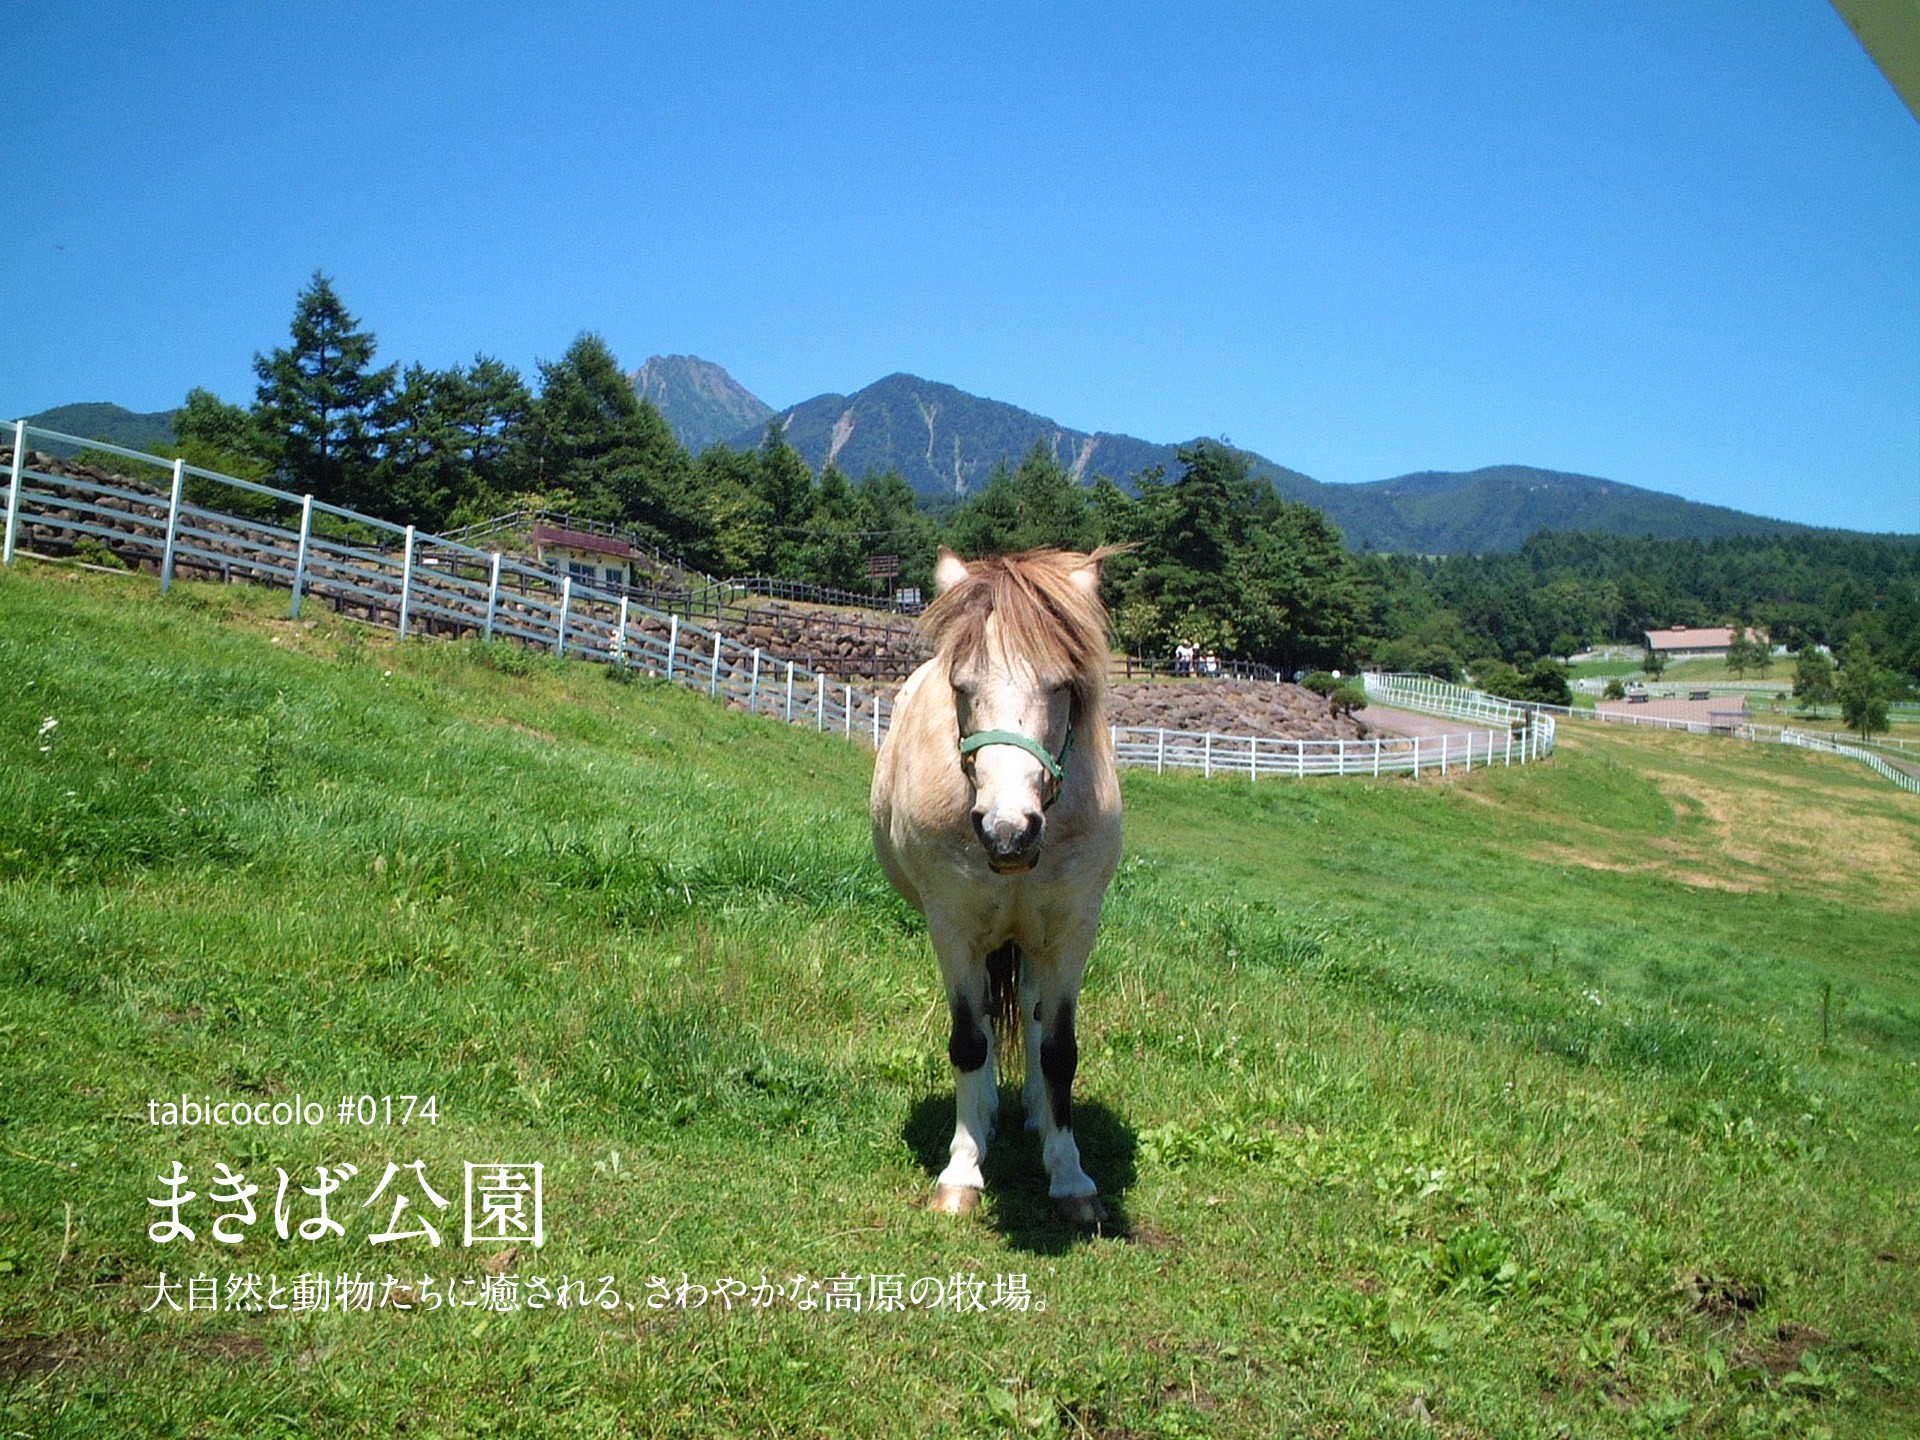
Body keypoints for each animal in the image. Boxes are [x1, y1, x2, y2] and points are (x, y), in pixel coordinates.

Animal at [871, 545, 1121, 1221]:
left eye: (1061, 686)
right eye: (962, 687)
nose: (1008, 832)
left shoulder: (1070, 932)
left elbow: (1059, 1049)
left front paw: (1070, 1177)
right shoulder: (953, 928)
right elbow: (968, 1042)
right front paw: (962, 1170)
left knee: (1031, 1014)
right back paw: (982, 1118)